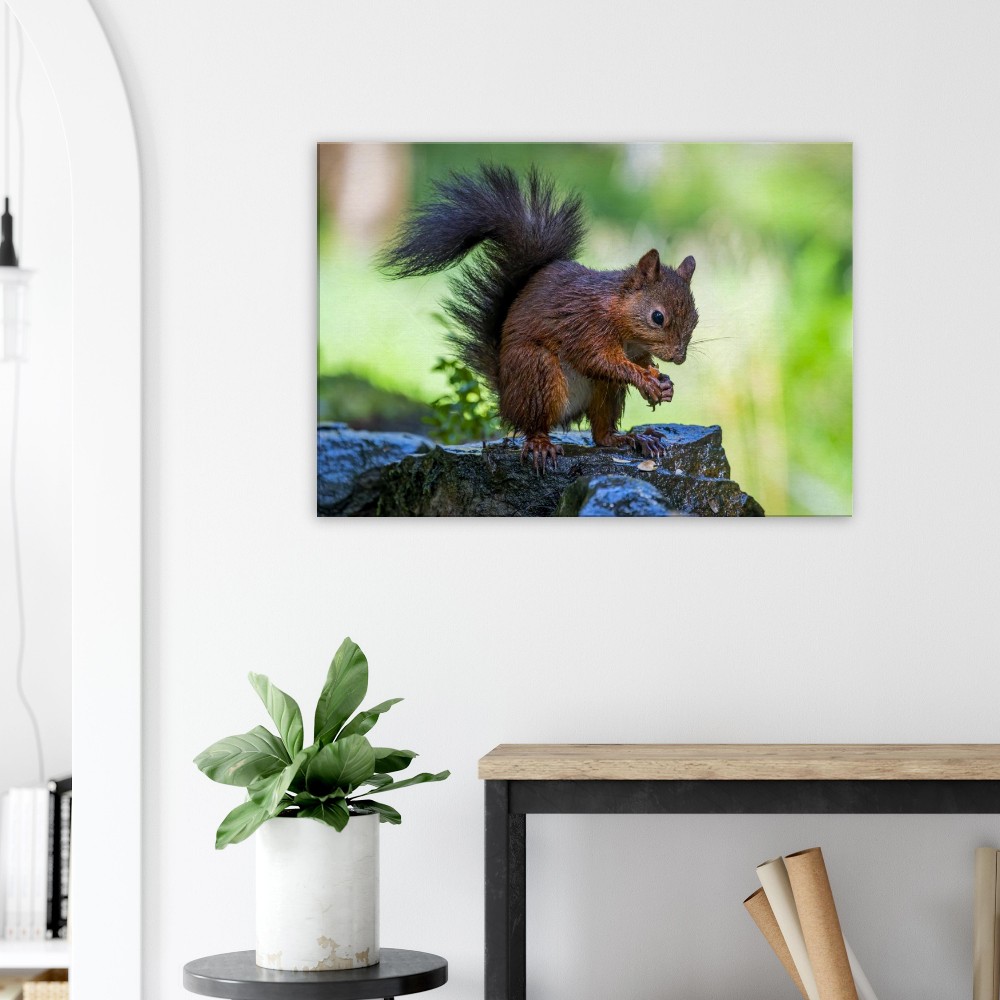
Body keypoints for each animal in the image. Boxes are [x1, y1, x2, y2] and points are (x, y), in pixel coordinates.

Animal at [379, 165, 698, 471]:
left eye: (695, 319)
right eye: (657, 317)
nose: (679, 358)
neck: (620, 317)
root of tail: (506, 398)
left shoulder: (634, 348)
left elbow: (639, 362)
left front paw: (662, 382)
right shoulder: (586, 326)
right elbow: (599, 360)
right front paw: (645, 380)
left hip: (604, 391)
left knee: (601, 434)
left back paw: (631, 438)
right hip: (536, 373)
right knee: (534, 425)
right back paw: (541, 444)